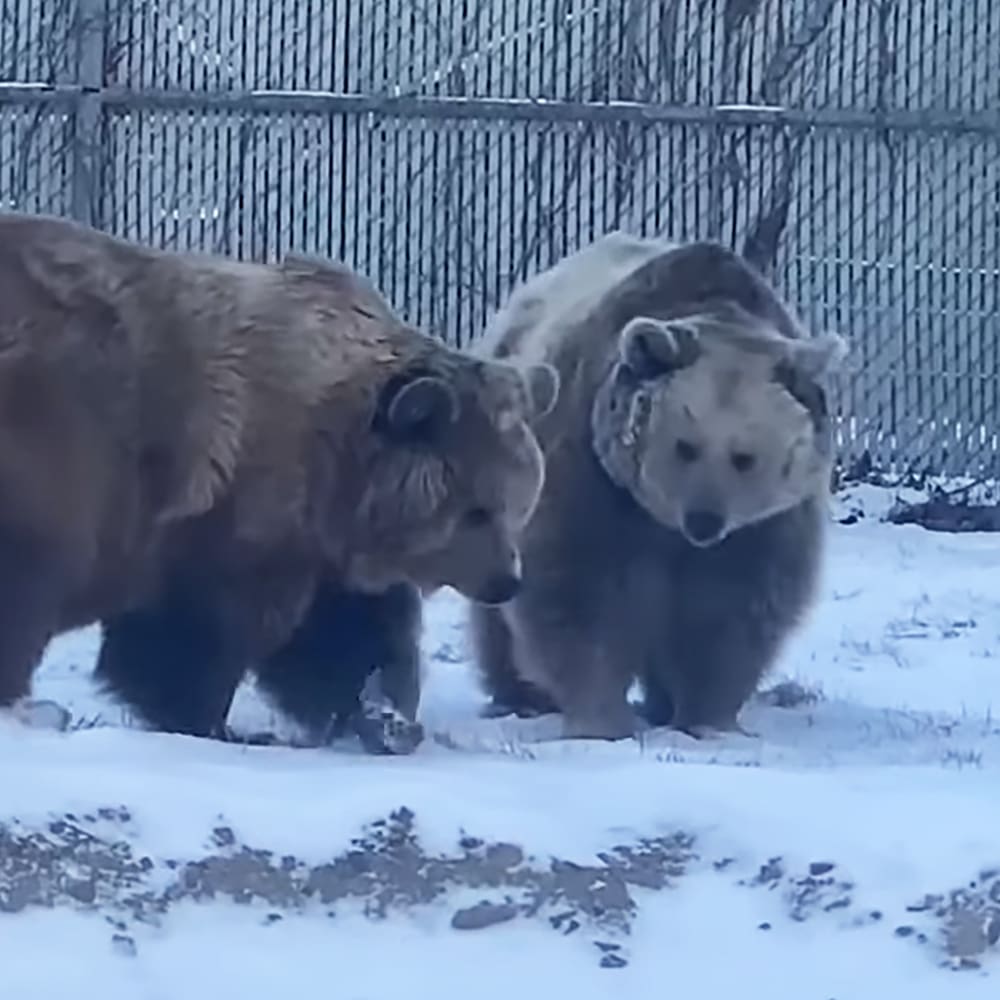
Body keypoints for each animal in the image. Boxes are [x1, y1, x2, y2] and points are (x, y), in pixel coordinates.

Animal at [0, 211, 559, 751]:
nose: (506, 581)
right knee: (36, 570)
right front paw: (212, 722)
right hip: (55, 431)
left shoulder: (322, 549)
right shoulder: (233, 507)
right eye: (477, 509)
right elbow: (195, 632)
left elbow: (349, 635)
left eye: (520, 505)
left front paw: (385, 717)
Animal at [467, 231, 846, 741]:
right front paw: (602, 719)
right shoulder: (591, 474)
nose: (704, 521)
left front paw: (706, 718)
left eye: (744, 456)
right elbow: (579, 593)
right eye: (686, 445)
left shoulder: (763, 526)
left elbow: (732, 610)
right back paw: (520, 693)